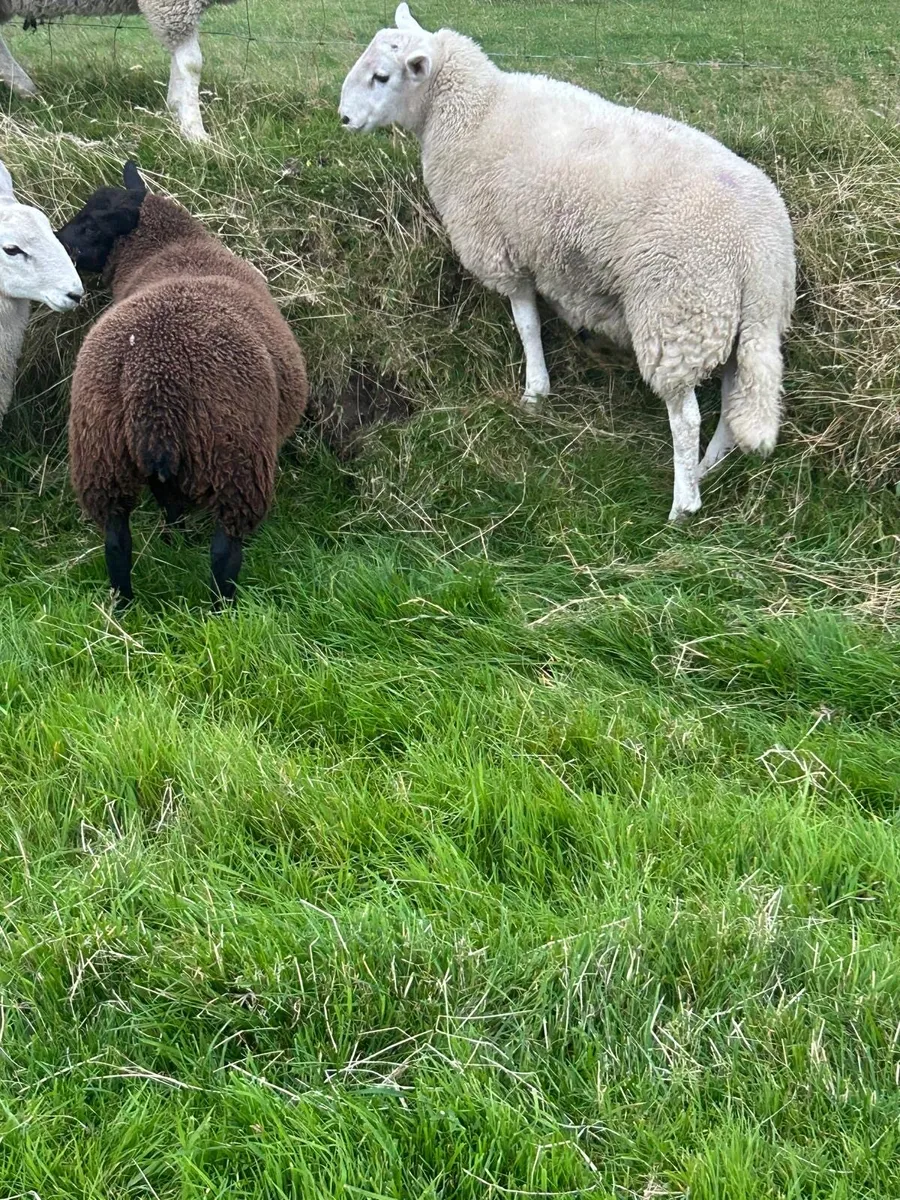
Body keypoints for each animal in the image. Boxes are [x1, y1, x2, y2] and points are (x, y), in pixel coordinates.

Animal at [0, 0, 236, 141]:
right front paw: (196, 133)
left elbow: (179, 62)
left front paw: (175, 108)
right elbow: (191, 63)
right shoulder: (172, 6)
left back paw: (27, 91)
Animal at [56, 161, 308, 607]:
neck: (167, 248)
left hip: (102, 453)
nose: (54, 240)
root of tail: (152, 379)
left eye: (89, 226)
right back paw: (222, 609)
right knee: (224, 549)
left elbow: (167, 501)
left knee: (118, 540)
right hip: (236, 456)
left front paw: (176, 540)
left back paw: (126, 603)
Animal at [339, 5, 796, 521]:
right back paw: (706, 470)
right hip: (742, 320)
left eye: (381, 76)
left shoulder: (504, 250)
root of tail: (760, 250)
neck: (471, 112)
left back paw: (684, 502)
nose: (343, 117)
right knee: (734, 400)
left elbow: (527, 326)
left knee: (686, 417)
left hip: (678, 312)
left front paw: (535, 392)